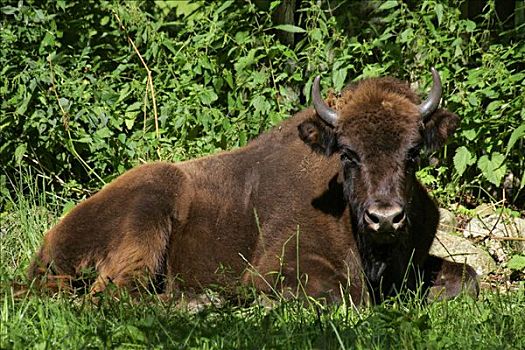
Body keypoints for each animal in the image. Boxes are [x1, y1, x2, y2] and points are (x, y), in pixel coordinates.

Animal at [28, 67, 478, 304]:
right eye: (348, 153)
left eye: (414, 152)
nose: (384, 217)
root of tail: (51, 239)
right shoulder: (276, 266)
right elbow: (344, 293)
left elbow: (468, 276)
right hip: (150, 206)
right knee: (116, 293)